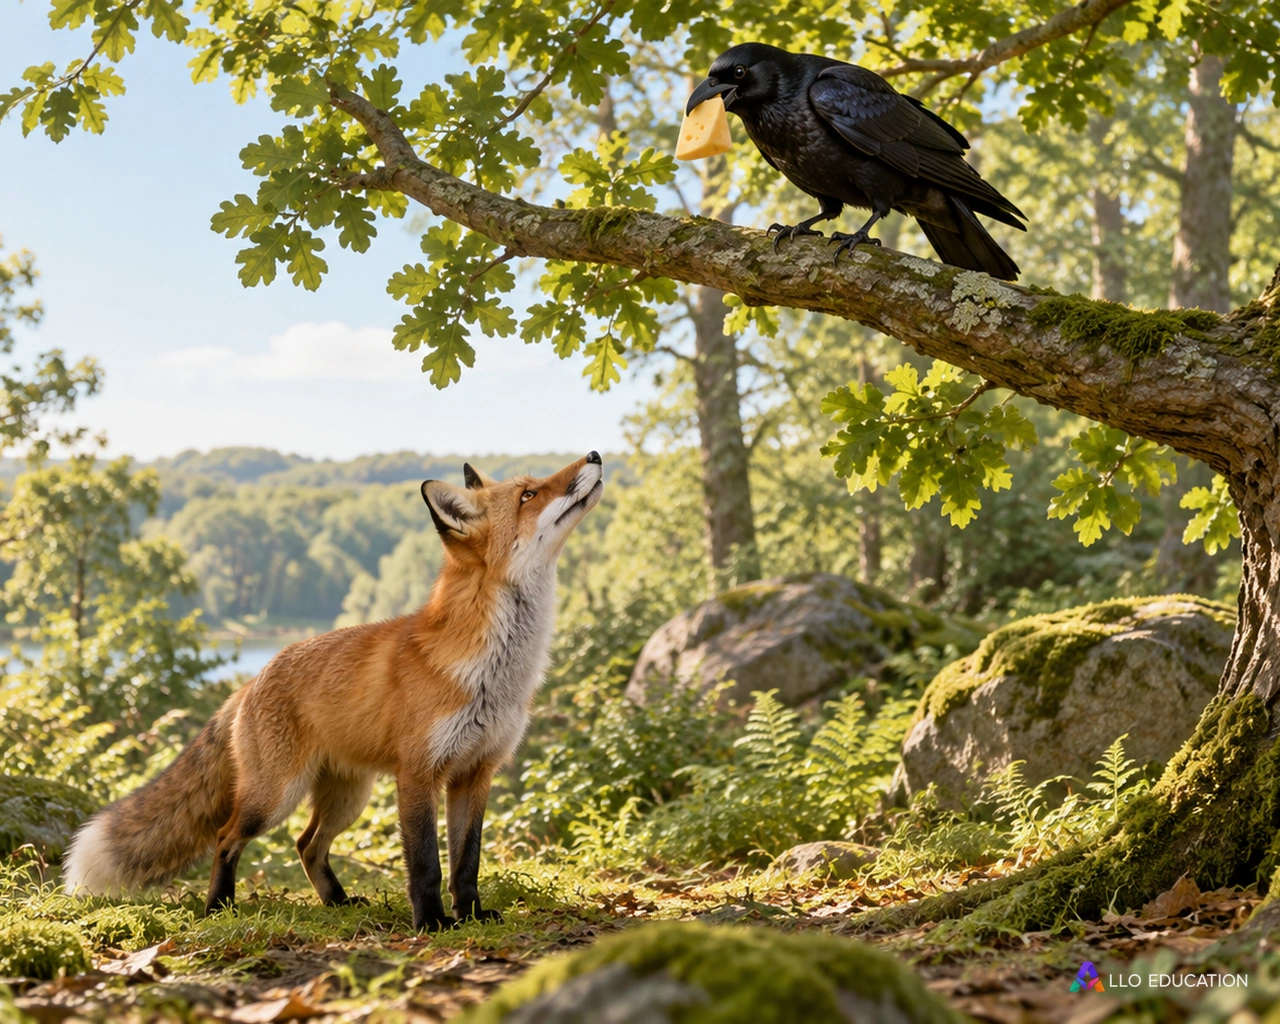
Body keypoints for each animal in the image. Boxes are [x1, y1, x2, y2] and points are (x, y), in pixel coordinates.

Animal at [62, 452, 605, 931]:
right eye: (528, 494)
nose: (595, 454)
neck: (495, 675)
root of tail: (252, 679)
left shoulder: (476, 773)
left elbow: (466, 863)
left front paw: (469, 914)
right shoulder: (419, 774)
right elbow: (426, 864)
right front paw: (431, 923)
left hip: (348, 797)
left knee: (307, 844)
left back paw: (337, 901)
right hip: (274, 797)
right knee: (226, 836)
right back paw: (219, 906)